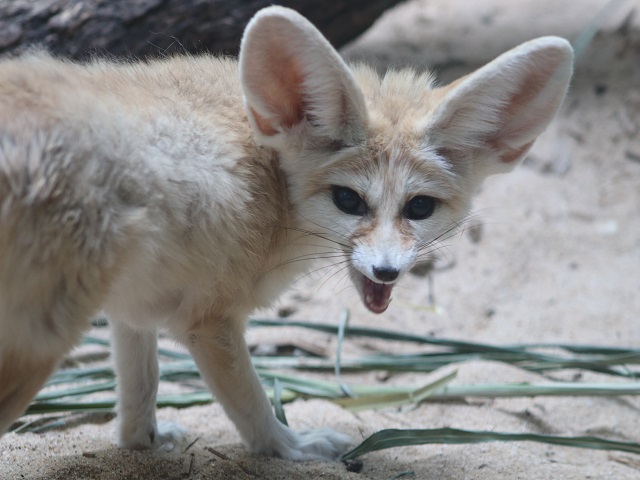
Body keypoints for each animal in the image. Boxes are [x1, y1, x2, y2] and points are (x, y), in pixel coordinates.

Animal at [0, 6, 573, 461]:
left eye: (420, 207)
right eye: (349, 201)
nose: (387, 270)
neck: (271, 173)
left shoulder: (134, 303)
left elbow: (141, 384)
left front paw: (144, 443)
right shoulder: (208, 321)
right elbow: (250, 404)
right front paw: (288, 447)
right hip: (36, 348)